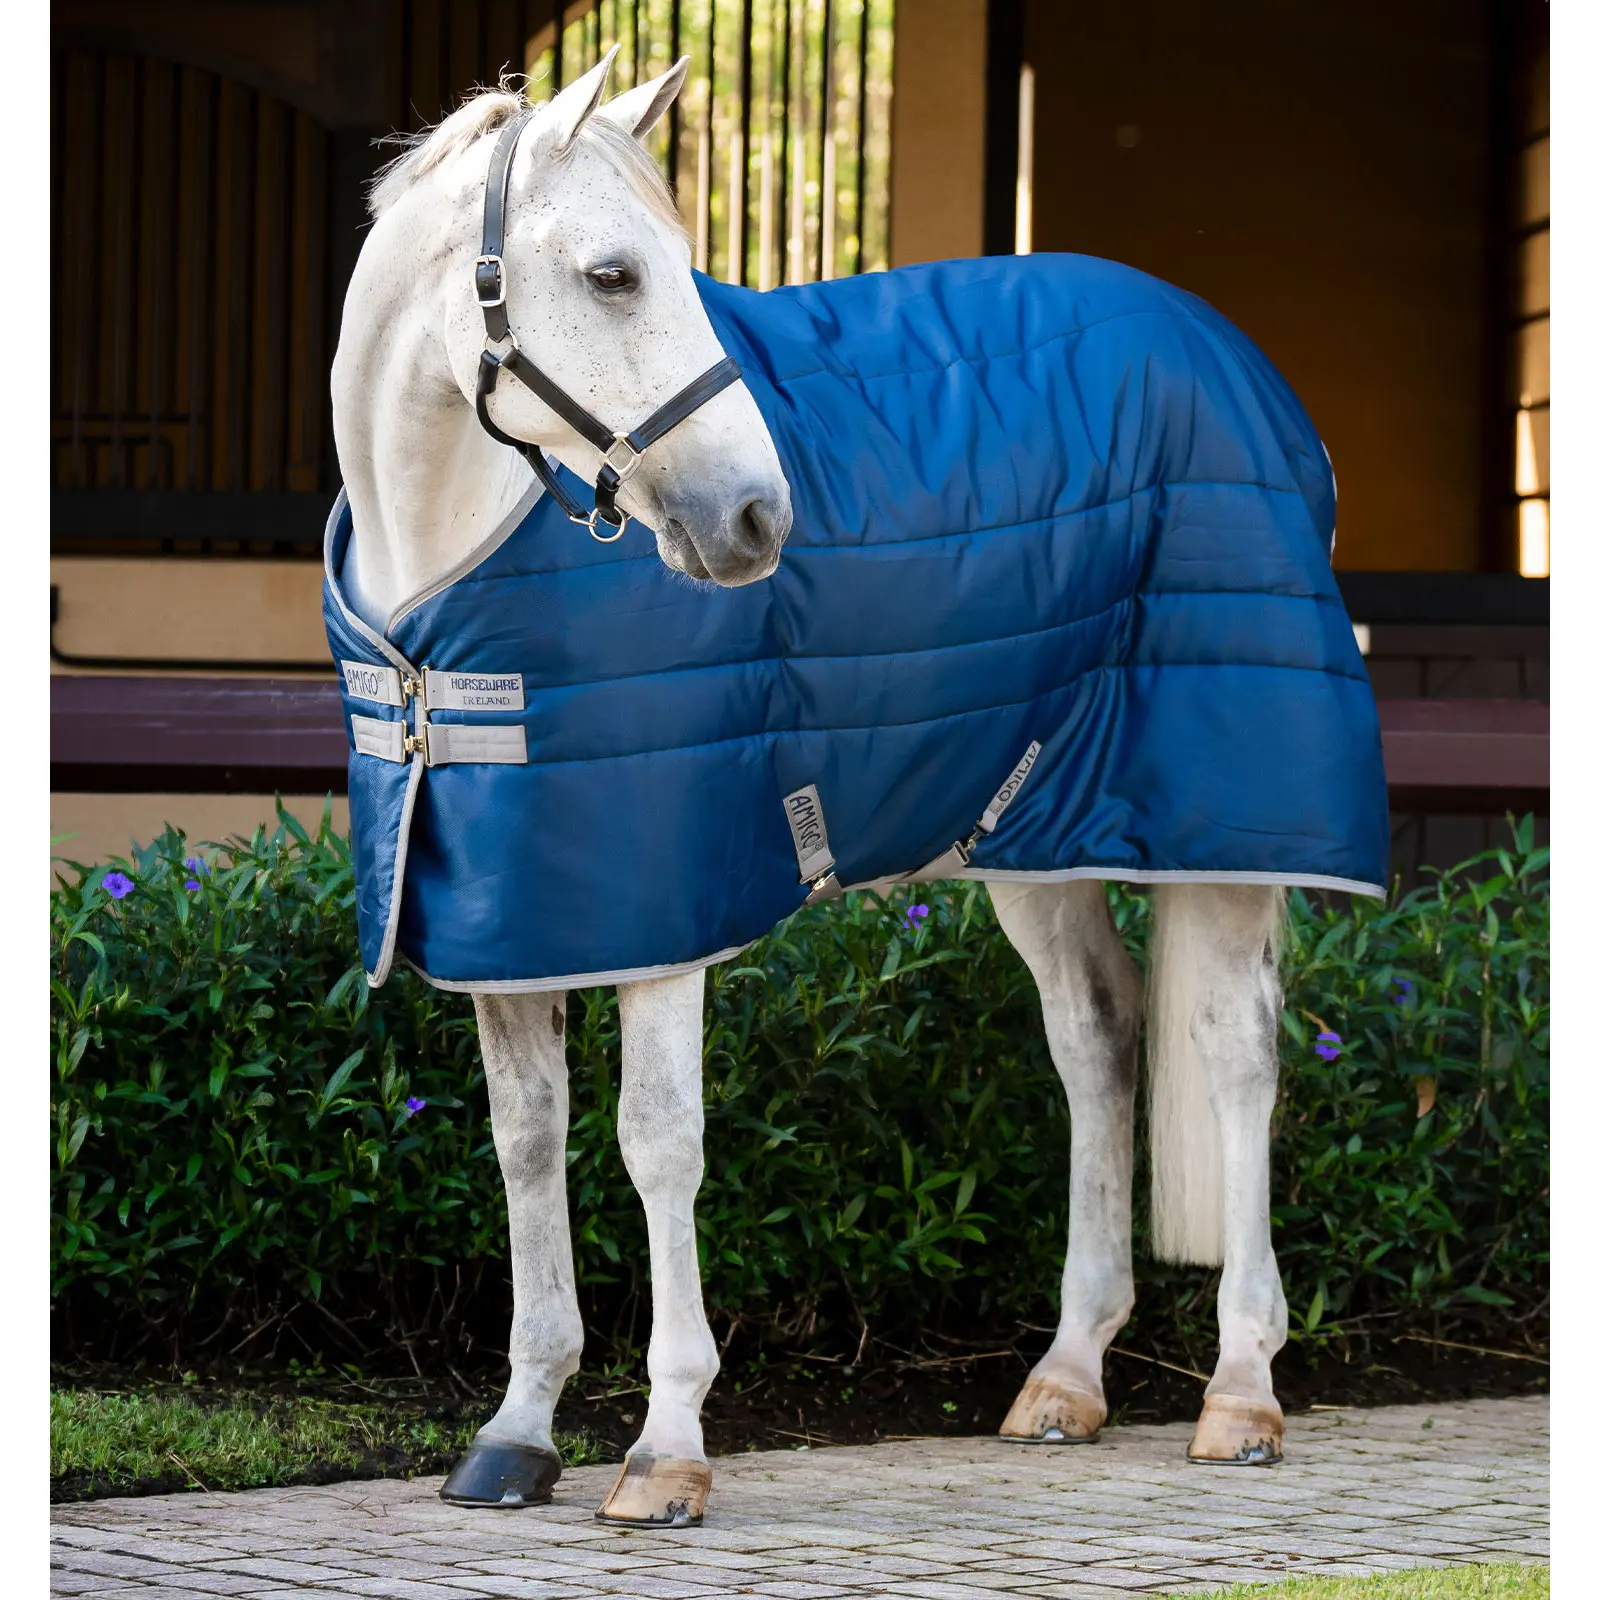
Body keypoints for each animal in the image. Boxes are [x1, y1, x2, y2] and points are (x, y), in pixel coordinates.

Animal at [327, 50, 1386, 1526]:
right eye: (611, 274)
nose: (755, 521)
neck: (443, 591)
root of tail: (1238, 365)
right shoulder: (513, 913)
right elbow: (526, 1142)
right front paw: (518, 1431)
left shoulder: (667, 909)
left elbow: (657, 1141)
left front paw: (665, 1449)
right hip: (1030, 833)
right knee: (1098, 1036)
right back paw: (1066, 1376)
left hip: (1221, 824)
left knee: (1237, 1054)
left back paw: (1241, 1390)